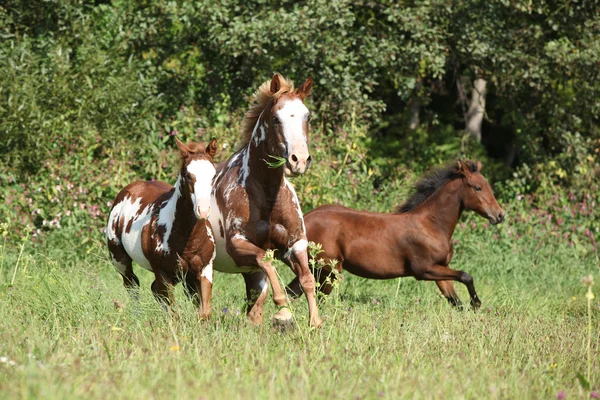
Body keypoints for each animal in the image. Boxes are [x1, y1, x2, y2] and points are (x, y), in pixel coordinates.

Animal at [106, 138, 219, 318]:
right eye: (187, 175)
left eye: (213, 175)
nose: (203, 210)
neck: (187, 238)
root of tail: (129, 189)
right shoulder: (163, 273)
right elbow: (175, 313)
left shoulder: (204, 270)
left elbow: (204, 312)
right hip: (119, 259)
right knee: (132, 284)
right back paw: (137, 316)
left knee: (154, 290)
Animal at [210, 73, 326, 326]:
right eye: (275, 119)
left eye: (308, 116)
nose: (299, 160)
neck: (267, 196)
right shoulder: (237, 244)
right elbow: (266, 259)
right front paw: (283, 309)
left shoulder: (295, 244)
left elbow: (307, 280)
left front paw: (315, 323)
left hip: (250, 272)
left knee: (254, 305)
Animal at [286, 159, 506, 310]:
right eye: (477, 187)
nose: (499, 215)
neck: (431, 225)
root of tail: (304, 220)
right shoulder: (424, 270)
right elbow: (466, 276)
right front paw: (476, 303)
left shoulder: (440, 270)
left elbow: (455, 301)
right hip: (328, 271)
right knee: (316, 298)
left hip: (315, 269)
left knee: (293, 293)